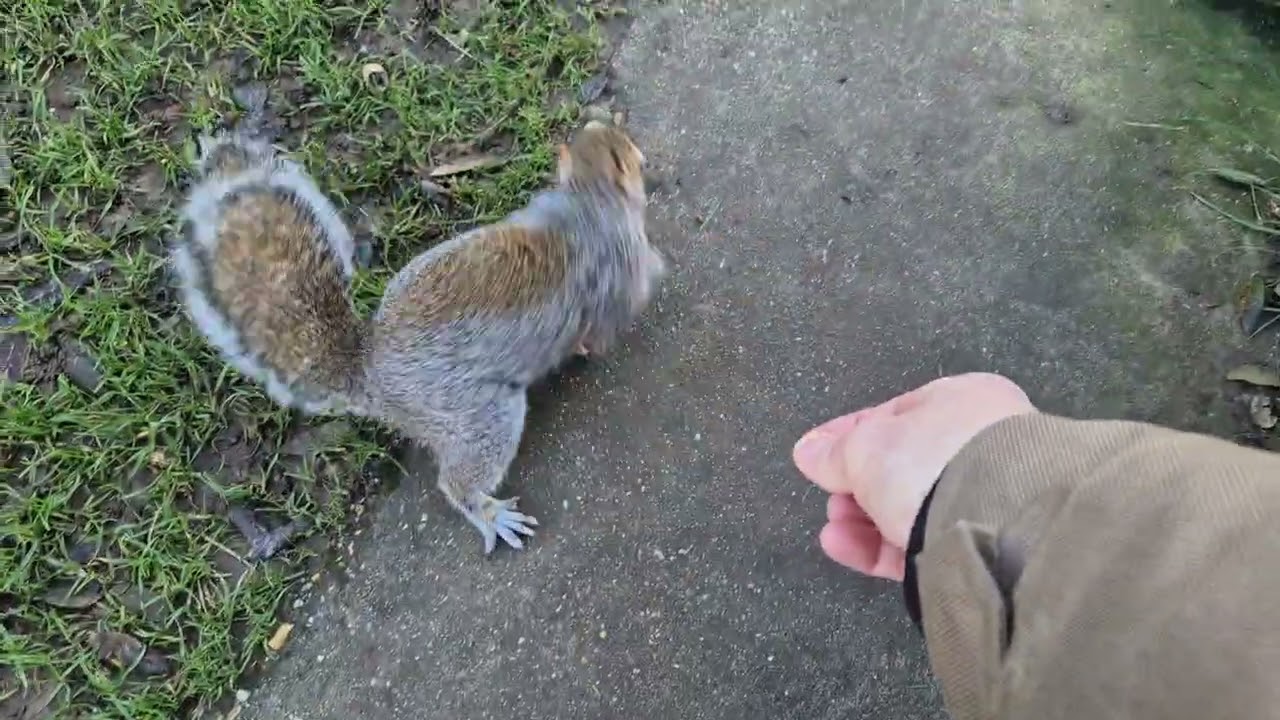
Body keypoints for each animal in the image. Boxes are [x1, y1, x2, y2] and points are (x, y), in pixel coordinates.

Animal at [172, 107, 666, 554]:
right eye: (625, 148)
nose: (638, 150)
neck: (585, 200)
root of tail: (370, 373)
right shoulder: (615, 269)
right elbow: (609, 320)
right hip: (478, 415)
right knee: (457, 481)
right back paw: (491, 514)